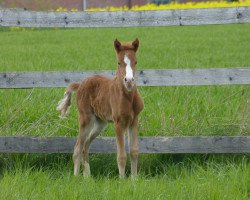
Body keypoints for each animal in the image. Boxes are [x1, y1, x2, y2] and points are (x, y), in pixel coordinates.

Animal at [56, 39, 143, 178]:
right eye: (119, 62)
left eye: (135, 62)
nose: (129, 81)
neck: (128, 98)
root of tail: (80, 85)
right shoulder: (118, 123)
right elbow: (121, 156)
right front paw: (122, 180)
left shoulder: (134, 121)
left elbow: (134, 151)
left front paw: (134, 179)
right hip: (86, 119)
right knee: (78, 147)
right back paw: (76, 177)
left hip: (100, 123)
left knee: (86, 145)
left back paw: (87, 177)